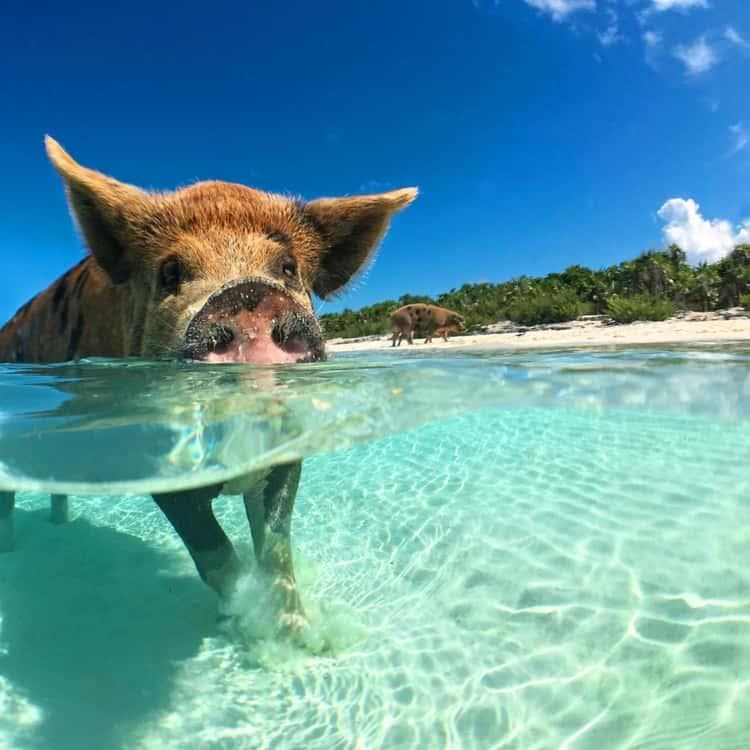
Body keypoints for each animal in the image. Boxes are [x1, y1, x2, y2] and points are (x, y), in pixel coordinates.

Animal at [0, 137, 417, 637]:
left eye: (287, 267)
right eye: (170, 271)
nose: (248, 294)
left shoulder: (287, 452)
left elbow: (276, 549)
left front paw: (301, 638)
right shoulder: (155, 457)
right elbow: (214, 553)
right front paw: (247, 628)